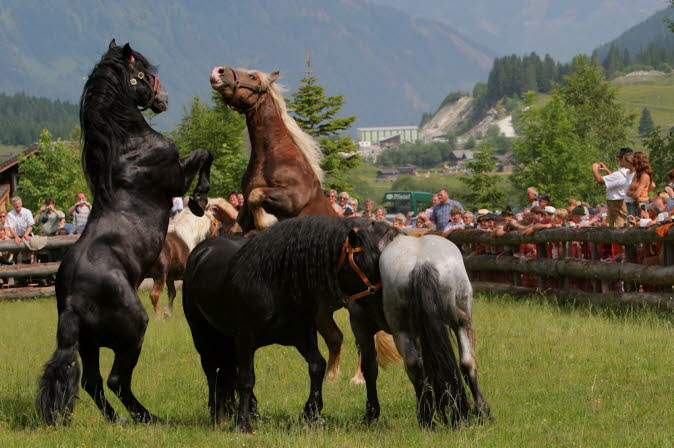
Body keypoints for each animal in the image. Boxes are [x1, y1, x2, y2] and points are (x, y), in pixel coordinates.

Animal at [36, 40, 213, 425]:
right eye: (143, 72)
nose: (163, 98)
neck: (129, 147)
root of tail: (72, 301)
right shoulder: (176, 177)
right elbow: (205, 153)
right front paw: (199, 200)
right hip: (133, 329)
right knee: (117, 380)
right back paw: (148, 418)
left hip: (88, 344)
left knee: (92, 382)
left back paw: (116, 420)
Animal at [182, 216, 399, 432]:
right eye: (370, 263)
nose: (386, 302)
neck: (273, 284)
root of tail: (201, 251)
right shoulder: (245, 338)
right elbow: (245, 379)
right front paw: (242, 424)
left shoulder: (303, 335)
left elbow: (317, 366)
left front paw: (311, 413)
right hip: (201, 333)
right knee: (212, 369)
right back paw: (217, 413)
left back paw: (251, 411)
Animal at [209, 64, 399, 381]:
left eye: (252, 76)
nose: (218, 71)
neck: (274, 158)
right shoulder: (243, 211)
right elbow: (241, 219)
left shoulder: (288, 199)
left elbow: (259, 199)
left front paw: (265, 223)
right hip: (323, 310)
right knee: (336, 338)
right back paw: (332, 377)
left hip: (355, 308)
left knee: (362, 340)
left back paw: (356, 378)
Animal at [348, 234, 491, 427]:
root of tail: (422, 263)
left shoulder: (360, 326)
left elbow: (369, 368)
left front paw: (371, 414)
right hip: (462, 322)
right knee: (467, 363)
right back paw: (481, 412)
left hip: (401, 332)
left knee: (414, 366)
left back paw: (426, 418)